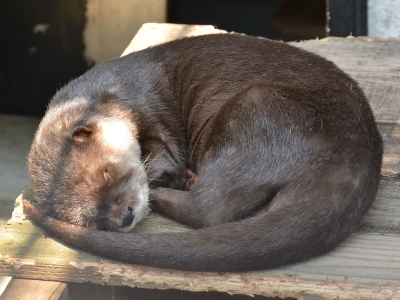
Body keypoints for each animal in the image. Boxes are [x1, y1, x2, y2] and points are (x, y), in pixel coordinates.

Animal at [23, 32, 382, 272]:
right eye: (92, 219)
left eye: (108, 172)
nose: (125, 215)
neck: (115, 92)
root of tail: (353, 155)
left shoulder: (146, 107)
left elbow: (165, 149)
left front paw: (164, 173)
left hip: (255, 109)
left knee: (210, 209)